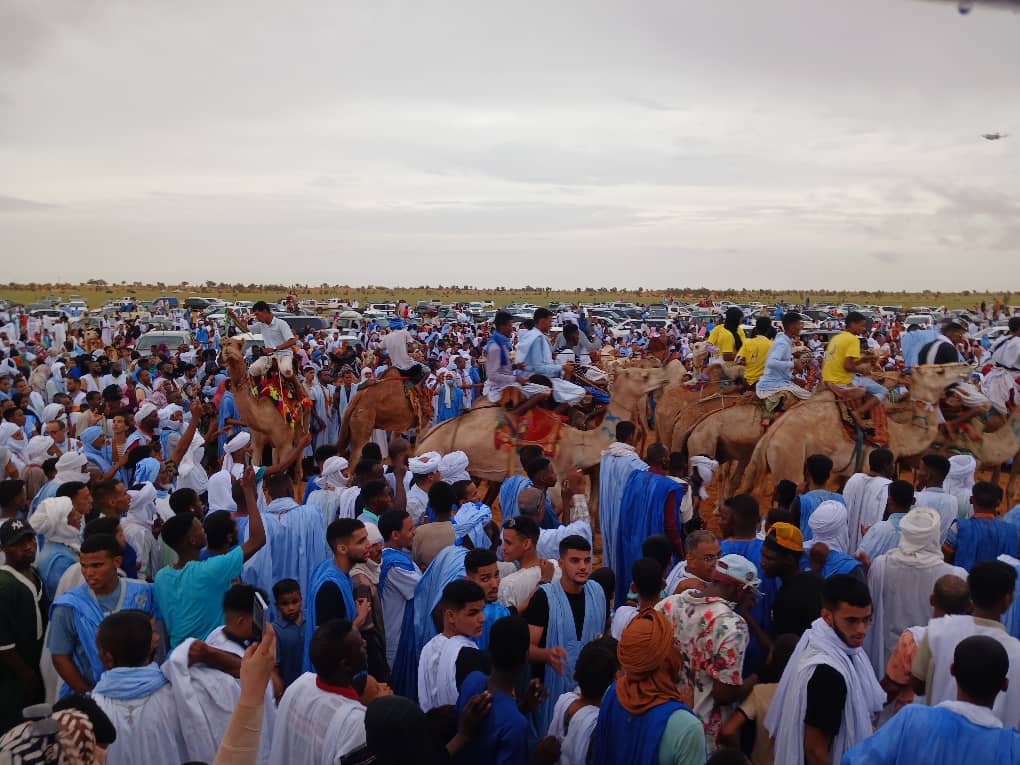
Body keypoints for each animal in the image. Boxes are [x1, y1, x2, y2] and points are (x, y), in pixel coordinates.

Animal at [220, 338, 310, 480]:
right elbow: (257, 466)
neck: (265, 419)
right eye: (222, 345)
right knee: (275, 456)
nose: (226, 350)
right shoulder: (257, 443)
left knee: (299, 453)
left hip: (304, 423)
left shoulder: (285, 444)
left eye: (238, 345)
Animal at [737, 363, 973, 493]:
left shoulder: (848, 472)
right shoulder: (873, 466)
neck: (899, 435)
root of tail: (770, 436)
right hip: (788, 460)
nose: (966, 365)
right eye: (940, 371)